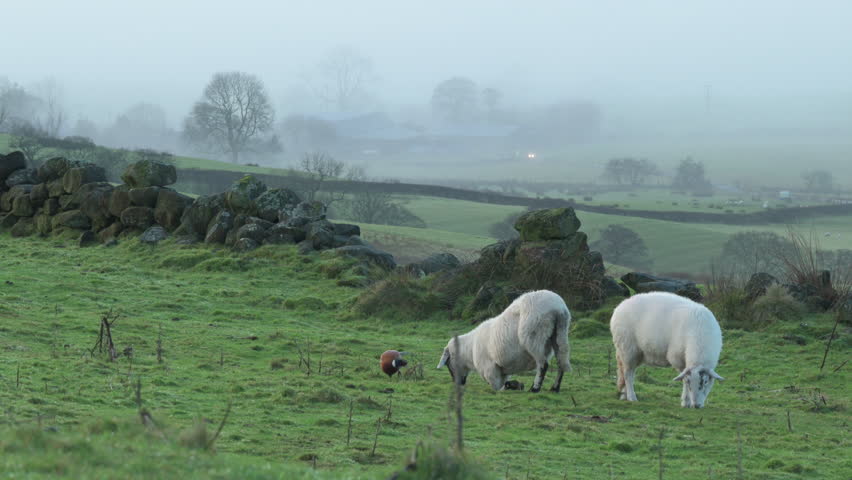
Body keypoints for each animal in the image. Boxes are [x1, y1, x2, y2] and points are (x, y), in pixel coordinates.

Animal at [436, 290, 572, 393]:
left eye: (448, 362)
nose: (457, 383)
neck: (469, 350)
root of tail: (558, 308)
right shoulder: (502, 370)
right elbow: (504, 382)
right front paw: (514, 385)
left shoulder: (490, 370)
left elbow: (497, 387)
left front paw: (511, 386)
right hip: (560, 333)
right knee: (561, 361)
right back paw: (555, 388)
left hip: (534, 337)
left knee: (543, 365)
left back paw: (535, 388)